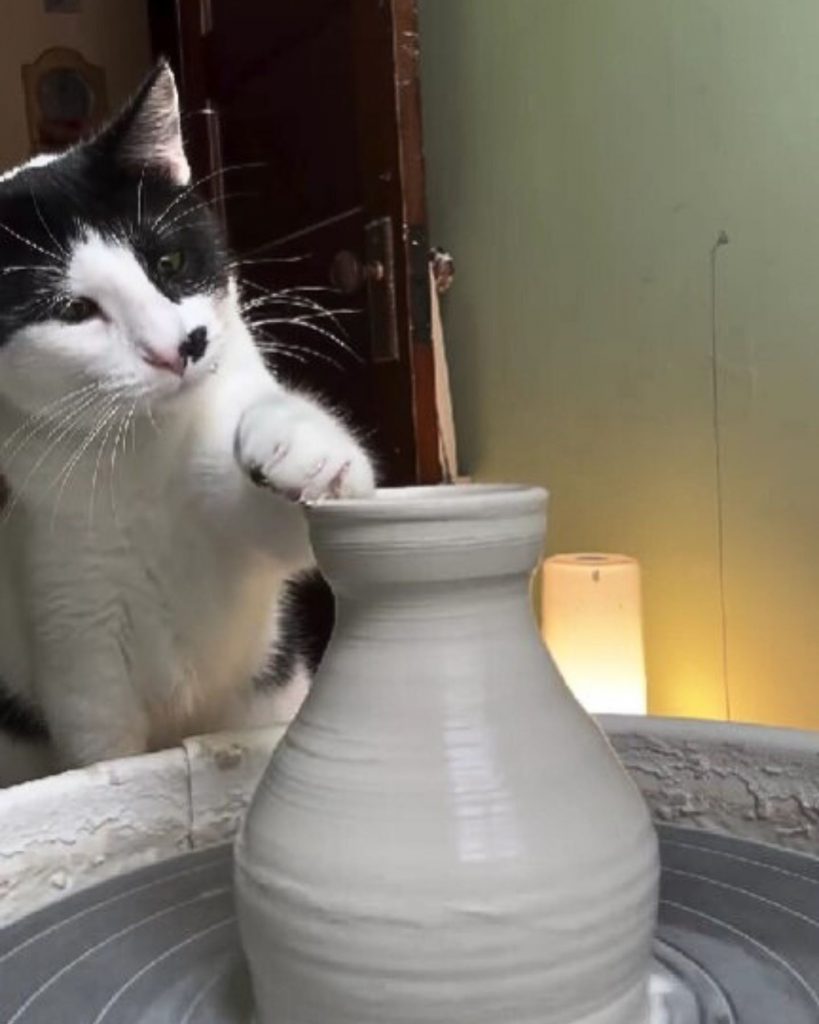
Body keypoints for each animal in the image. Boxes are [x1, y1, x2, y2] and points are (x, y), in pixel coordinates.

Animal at [0, 64, 374, 782]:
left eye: (167, 263)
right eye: (73, 309)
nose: (182, 347)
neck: (140, 446)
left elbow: (290, 529)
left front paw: (305, 446)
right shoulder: (72, 626)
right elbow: (102, 753)